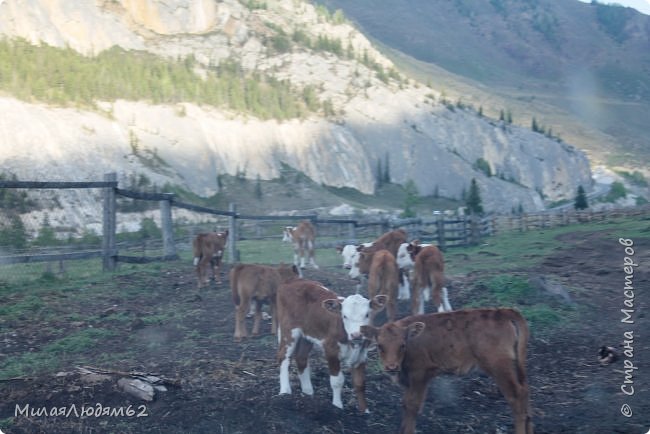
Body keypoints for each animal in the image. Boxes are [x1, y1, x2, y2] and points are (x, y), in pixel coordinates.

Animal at [274, 280, 384, 412]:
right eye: (344, 316)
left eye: (367, 315)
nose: (356, 334)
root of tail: (291, 283)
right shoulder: (331, 350)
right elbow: (337, 381)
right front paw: (337, 406)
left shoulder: (362, 355)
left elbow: (360, 383)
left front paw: (365, 411)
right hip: (289, 330)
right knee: (283, 357)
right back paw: (285, 392)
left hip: (308, 334)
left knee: (301, 357)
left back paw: (308, 393)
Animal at [360, 308, 532, 434]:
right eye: (380, 346)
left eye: (402, 345)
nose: (391, 367)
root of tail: (503, 311)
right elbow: (405, 404)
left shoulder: (420, 375)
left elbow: (412, 404)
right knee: (524, 392)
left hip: (500, 368)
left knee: (515, 396)